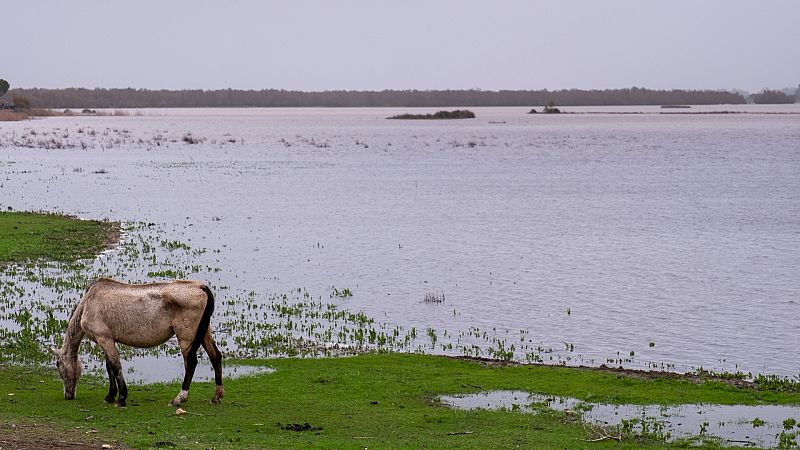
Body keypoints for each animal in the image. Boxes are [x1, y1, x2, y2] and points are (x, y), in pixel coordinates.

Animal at [49, 278, 225, 408]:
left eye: (58, 365)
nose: (68, 395)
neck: (88, 303)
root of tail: (200, 287)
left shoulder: (104, 338)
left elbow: (115, 366)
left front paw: (121, 398)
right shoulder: (107, 340)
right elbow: (109, 367)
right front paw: (110, 396)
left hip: (186, 336)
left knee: (191, 363)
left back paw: (179, 398)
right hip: (204, 332)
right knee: (215, 356)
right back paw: (217, 396)